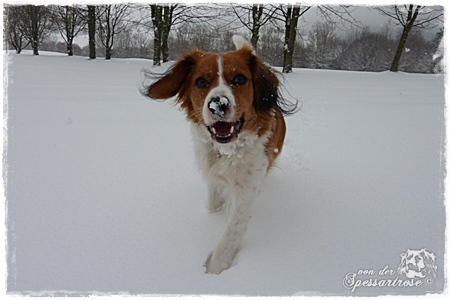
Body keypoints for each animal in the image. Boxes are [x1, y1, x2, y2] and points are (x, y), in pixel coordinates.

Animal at [145, 35, 296, 274]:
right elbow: (213, 203)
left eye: (240, 78)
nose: (218, 104)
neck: (228, 151)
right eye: (200, 82)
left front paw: (215, 268)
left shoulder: (246, 190)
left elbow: (232, 233)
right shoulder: (211, 175)